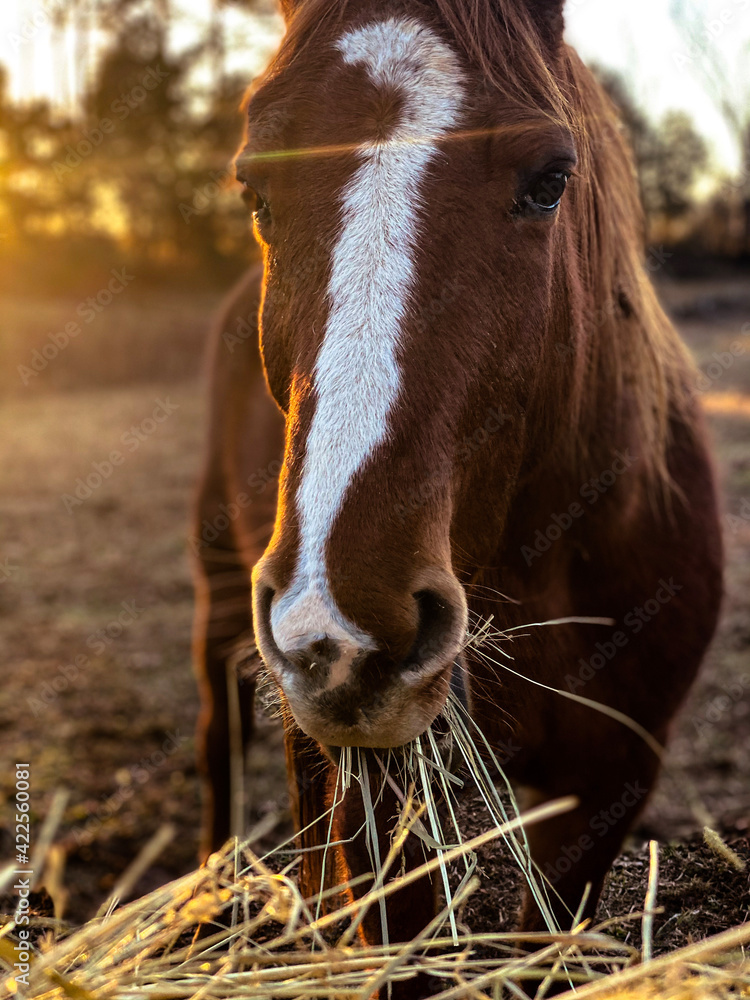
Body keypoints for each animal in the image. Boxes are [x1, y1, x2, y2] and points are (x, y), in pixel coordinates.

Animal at [192, 0, 723, 976]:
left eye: (551, 181)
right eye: (255, 193)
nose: (343, 632)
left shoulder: (609, 784)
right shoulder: (386, 791)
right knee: (220, 731)